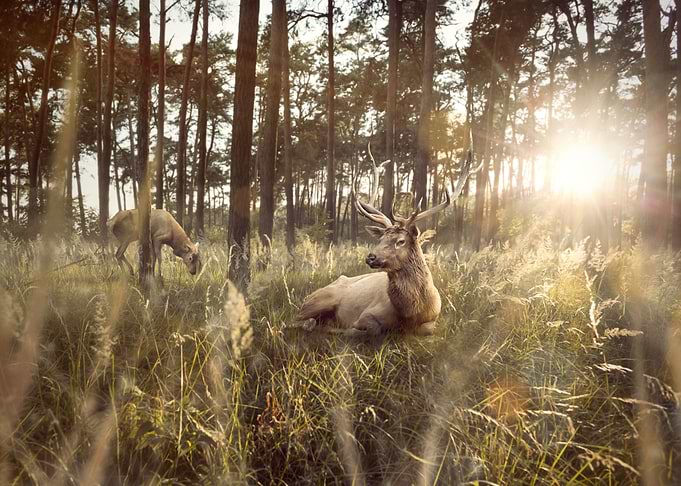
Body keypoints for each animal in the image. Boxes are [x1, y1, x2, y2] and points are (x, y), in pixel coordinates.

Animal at [296, 144, 479, 336]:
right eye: (381, 238)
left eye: (401, 241)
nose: (371, 257)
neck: (410, 314)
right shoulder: (367, 313)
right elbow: (372, 328)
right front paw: (350, 330)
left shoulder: (434, 319)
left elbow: (427, 330)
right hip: (321, 298)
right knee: (297, 321)